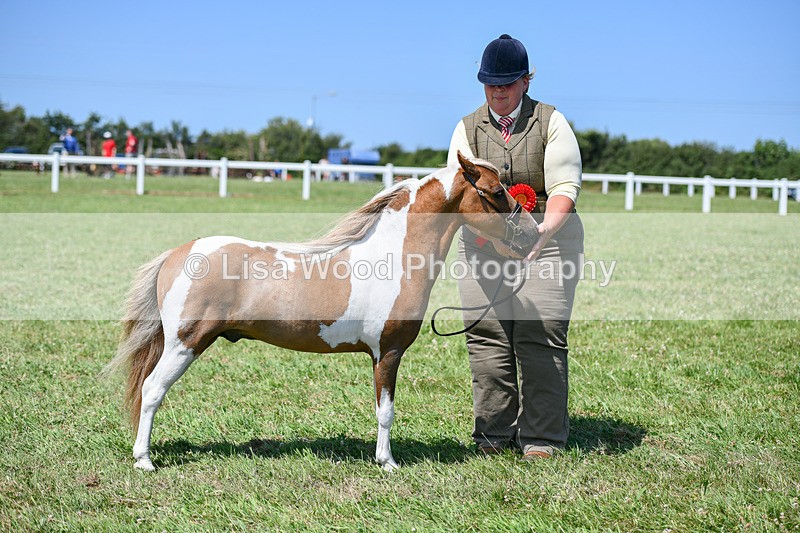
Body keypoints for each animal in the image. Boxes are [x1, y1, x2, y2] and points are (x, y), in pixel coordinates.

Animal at [107, 151, 538, 472]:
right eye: (495, 191)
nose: (532, 233)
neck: (394, 256)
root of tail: (177, 254)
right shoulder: (387, 353)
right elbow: (386, 411)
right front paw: (387, 463)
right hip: (185, 344)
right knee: (152, 390)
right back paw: (144, 460)